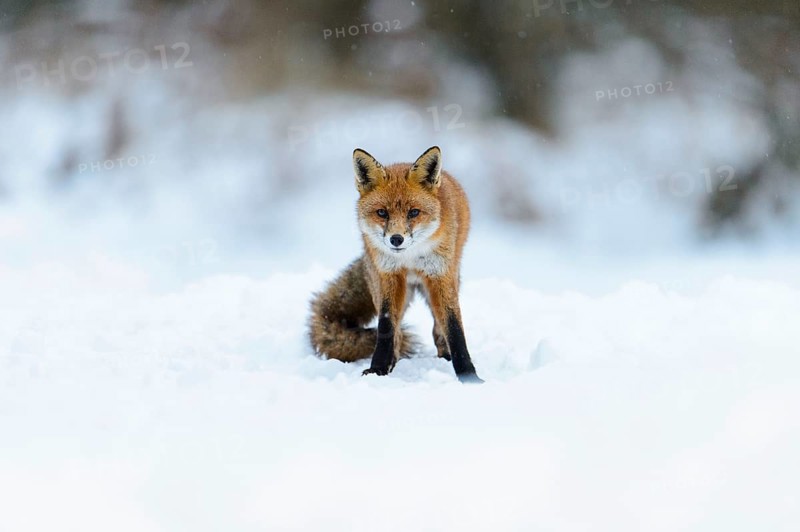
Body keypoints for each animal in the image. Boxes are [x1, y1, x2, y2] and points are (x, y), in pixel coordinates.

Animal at [308, 146, 482, 383]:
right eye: (382, 213)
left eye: (413, 212)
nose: (396, 239)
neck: (410, 258)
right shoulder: (389, 277)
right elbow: (386, 327)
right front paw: (378, 369)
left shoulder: (440, 275)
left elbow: (454, 328)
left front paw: (469, 376)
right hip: (386, 286)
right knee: (398, 333)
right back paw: (393, 363)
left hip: (445, 280)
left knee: (438, 328)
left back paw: (444, 356)